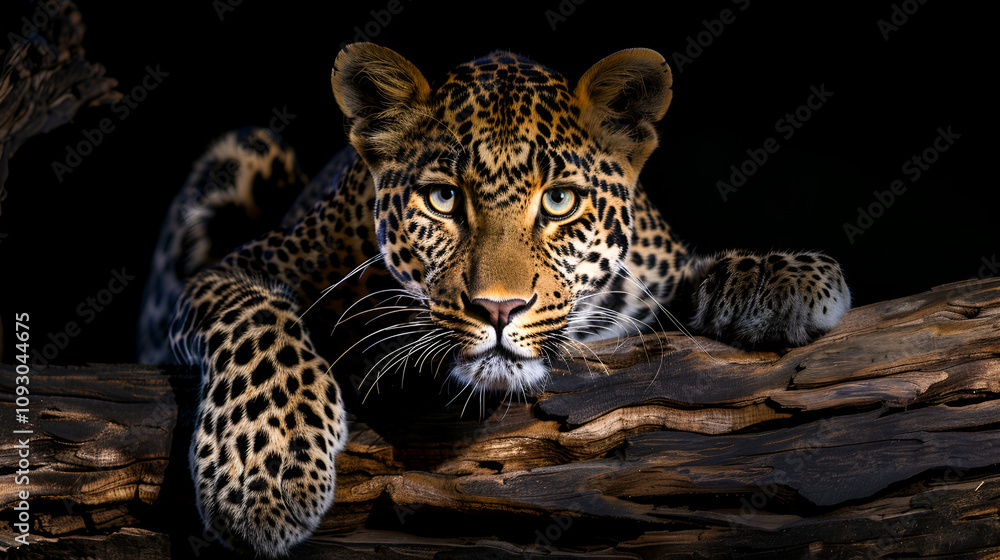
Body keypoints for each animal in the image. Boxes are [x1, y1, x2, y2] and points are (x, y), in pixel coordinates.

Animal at [137, 43, 850, 557]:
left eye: (559, 201)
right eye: (443, 199)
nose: (499, 309)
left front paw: (786, 276)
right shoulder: (244, 267)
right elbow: (261, 323)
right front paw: (265, 472)